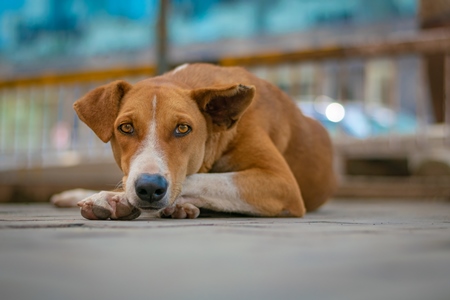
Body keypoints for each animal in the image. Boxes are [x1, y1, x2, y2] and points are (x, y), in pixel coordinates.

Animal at [51, 63, 336, 219]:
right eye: (126, 127)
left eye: (183, 128)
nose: (149, 187)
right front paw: (113, 199)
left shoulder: (282, 182)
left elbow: (200, 180)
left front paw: (116, 199)